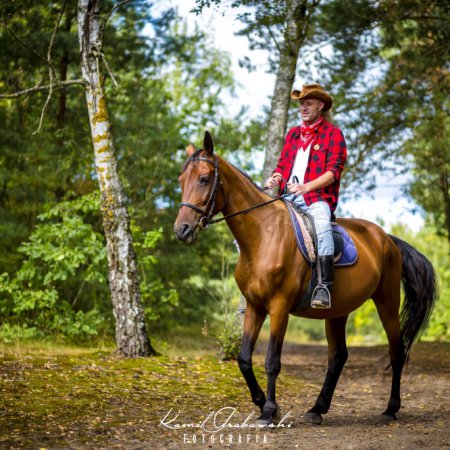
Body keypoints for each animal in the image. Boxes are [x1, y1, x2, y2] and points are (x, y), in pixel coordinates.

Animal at [172, 133, 436, 426]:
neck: (263, 235)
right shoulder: (254, 306)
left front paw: (269, 411)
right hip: (338, 311)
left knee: (396, 351)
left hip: (387, 302)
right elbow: (244, 359)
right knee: (338, 357)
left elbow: (272, 361)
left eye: (204, 179)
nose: (182, 230)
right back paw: (317, 408)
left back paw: (390, 408)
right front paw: (262, 402)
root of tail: (387, 239)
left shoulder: (279, 307)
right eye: (181, 180)